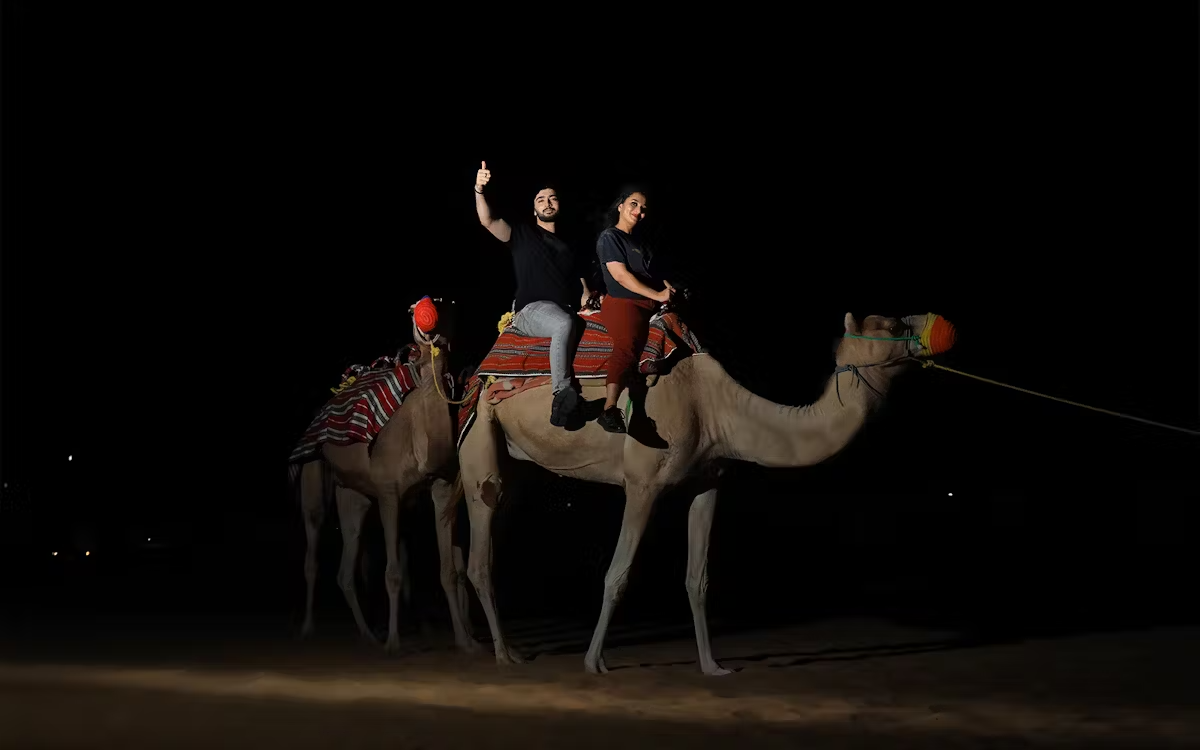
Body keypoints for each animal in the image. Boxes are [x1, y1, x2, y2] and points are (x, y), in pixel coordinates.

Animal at [294, 301, 477, 652]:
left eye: (449, 305)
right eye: (414, 310)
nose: (428, 324)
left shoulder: (442, 487)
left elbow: (448, 571)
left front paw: (466, 642)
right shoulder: (389, 492)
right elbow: (393, 574)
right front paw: (394, 645)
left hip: (353, 493)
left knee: (346, 568)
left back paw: (367, 635)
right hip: (314, 468)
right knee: (313, 539)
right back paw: (308, 629)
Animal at [456, 309, 955, 672]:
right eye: (892, 325)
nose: (938, 325)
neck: (716, 408)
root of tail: (478, 372)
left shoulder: (709, 481)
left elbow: (698, 579)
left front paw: (713, 666)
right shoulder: (642, 482)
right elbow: (617, 574)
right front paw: (594, 662)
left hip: (518, 461)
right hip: (481, 434)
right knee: (480, 547)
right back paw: (505, 654)